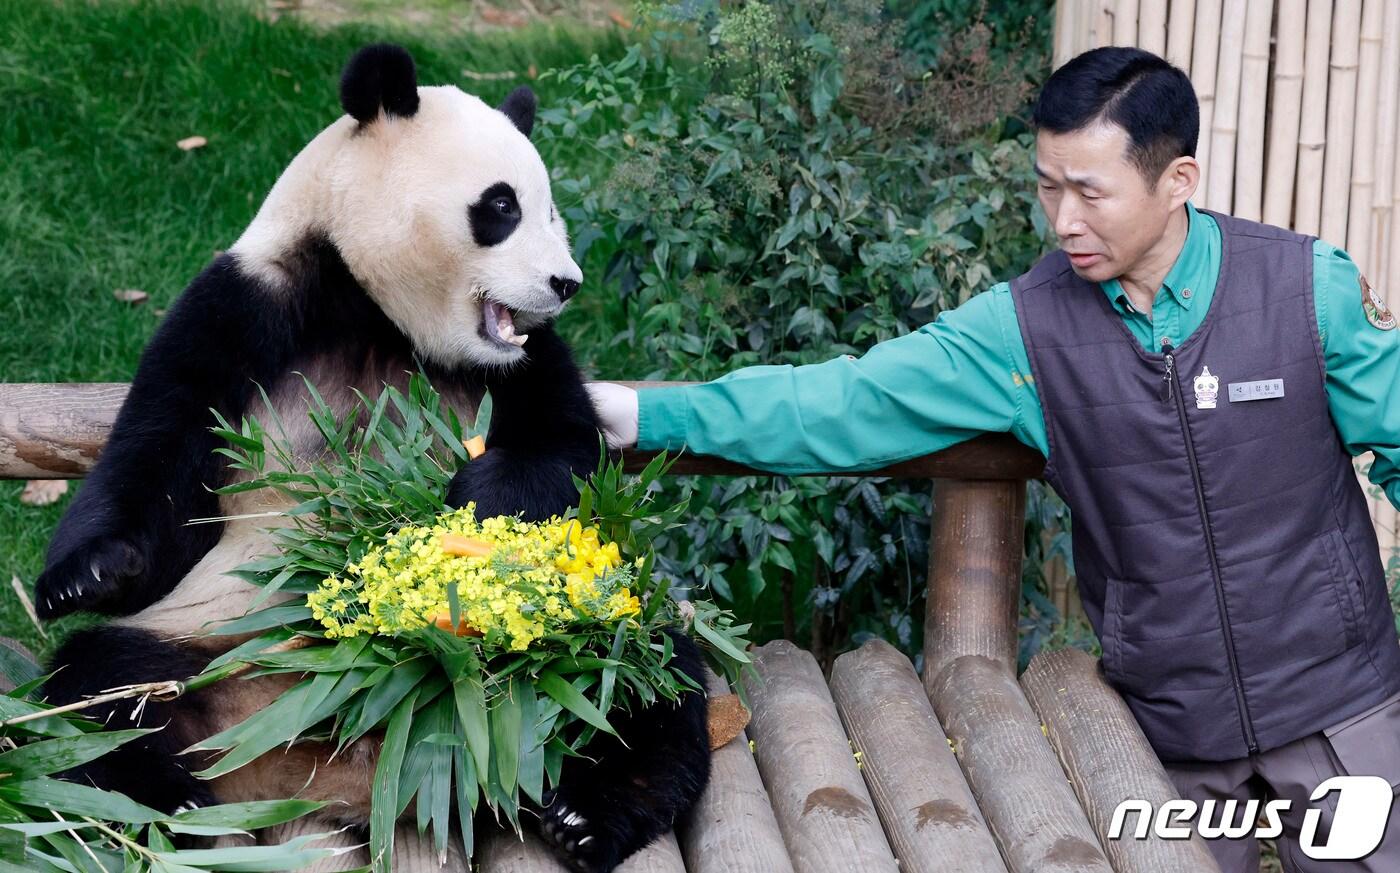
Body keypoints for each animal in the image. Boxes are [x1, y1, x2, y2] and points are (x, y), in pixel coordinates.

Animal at [35, 42, 711, 873]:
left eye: (549, 208)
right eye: (502, 207)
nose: (565, 284)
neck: (376, 308)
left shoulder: (523, 362)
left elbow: (567, 454)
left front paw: (479, 497)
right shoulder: (247, 304)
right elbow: (159, 457)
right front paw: (87, 574)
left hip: (580, 620)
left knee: (642, 671)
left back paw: (585, 813)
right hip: (205, 642)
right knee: (96, 692)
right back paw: (173, 799)